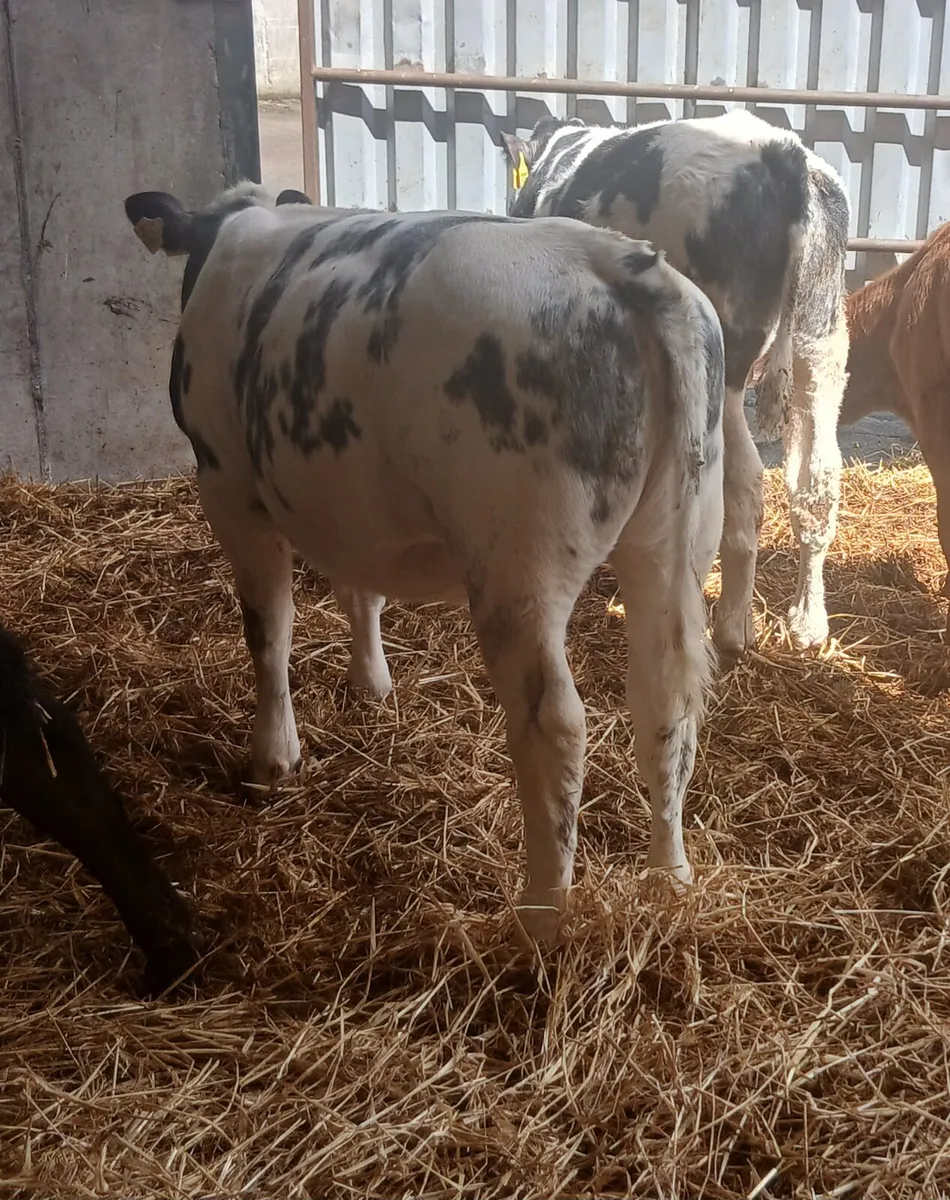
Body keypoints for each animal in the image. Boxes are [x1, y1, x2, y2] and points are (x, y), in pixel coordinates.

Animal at [124, 181, 726, 942]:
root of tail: (625, 267)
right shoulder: (347, 502)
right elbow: (360, 591)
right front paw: (371, 684)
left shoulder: (228, 485)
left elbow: (268, 632)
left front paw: (272, 760)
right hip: (675, 537)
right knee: (664, 699)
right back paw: (668, 878)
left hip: (518, 566)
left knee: (555, 724)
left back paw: (540, 915)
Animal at [501, 108, 851, 662]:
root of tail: (783, 153)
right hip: (822, 341)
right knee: (817, 478)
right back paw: (807, 623)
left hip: (723, 361)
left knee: (745, 483)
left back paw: (733, 628)